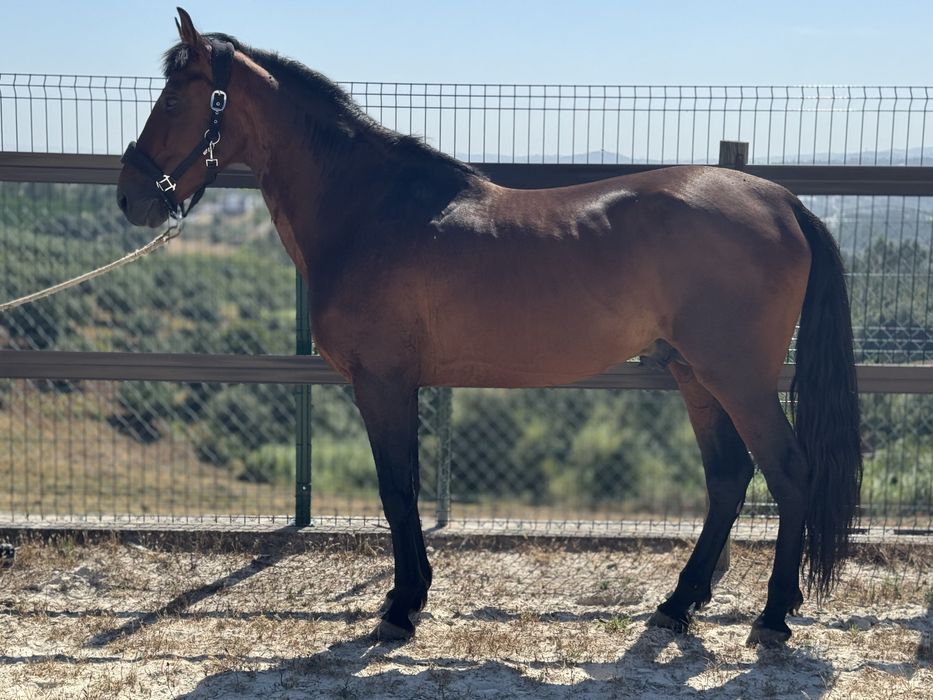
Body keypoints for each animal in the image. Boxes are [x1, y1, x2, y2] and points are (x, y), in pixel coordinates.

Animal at [117, 8, 862, 646]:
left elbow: (397, 490)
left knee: (787, 472)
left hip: (737, 377)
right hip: (693, 374)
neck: (369, 208)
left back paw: (771, 617)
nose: (130, 197)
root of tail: (782, 201)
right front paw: (411, 596)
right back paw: (678, 605)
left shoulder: (381, 382)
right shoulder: (399, 384)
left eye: (176, 100)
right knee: (728, 477)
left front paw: (401, 607)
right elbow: (406, 487)